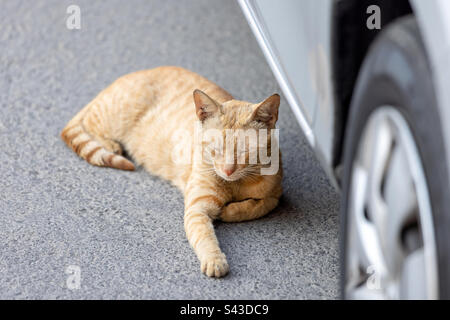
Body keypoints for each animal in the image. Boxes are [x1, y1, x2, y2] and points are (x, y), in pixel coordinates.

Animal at [62, 67, 284, 278]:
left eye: (245, 151)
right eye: (216, 148)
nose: (228, 170)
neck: (235, 184)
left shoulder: (275, 195)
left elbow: (256, 206)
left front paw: (229, 211)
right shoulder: (197, 208)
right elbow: (205, 237)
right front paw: (214, 260)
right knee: (86, 125)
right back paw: (111, 145)